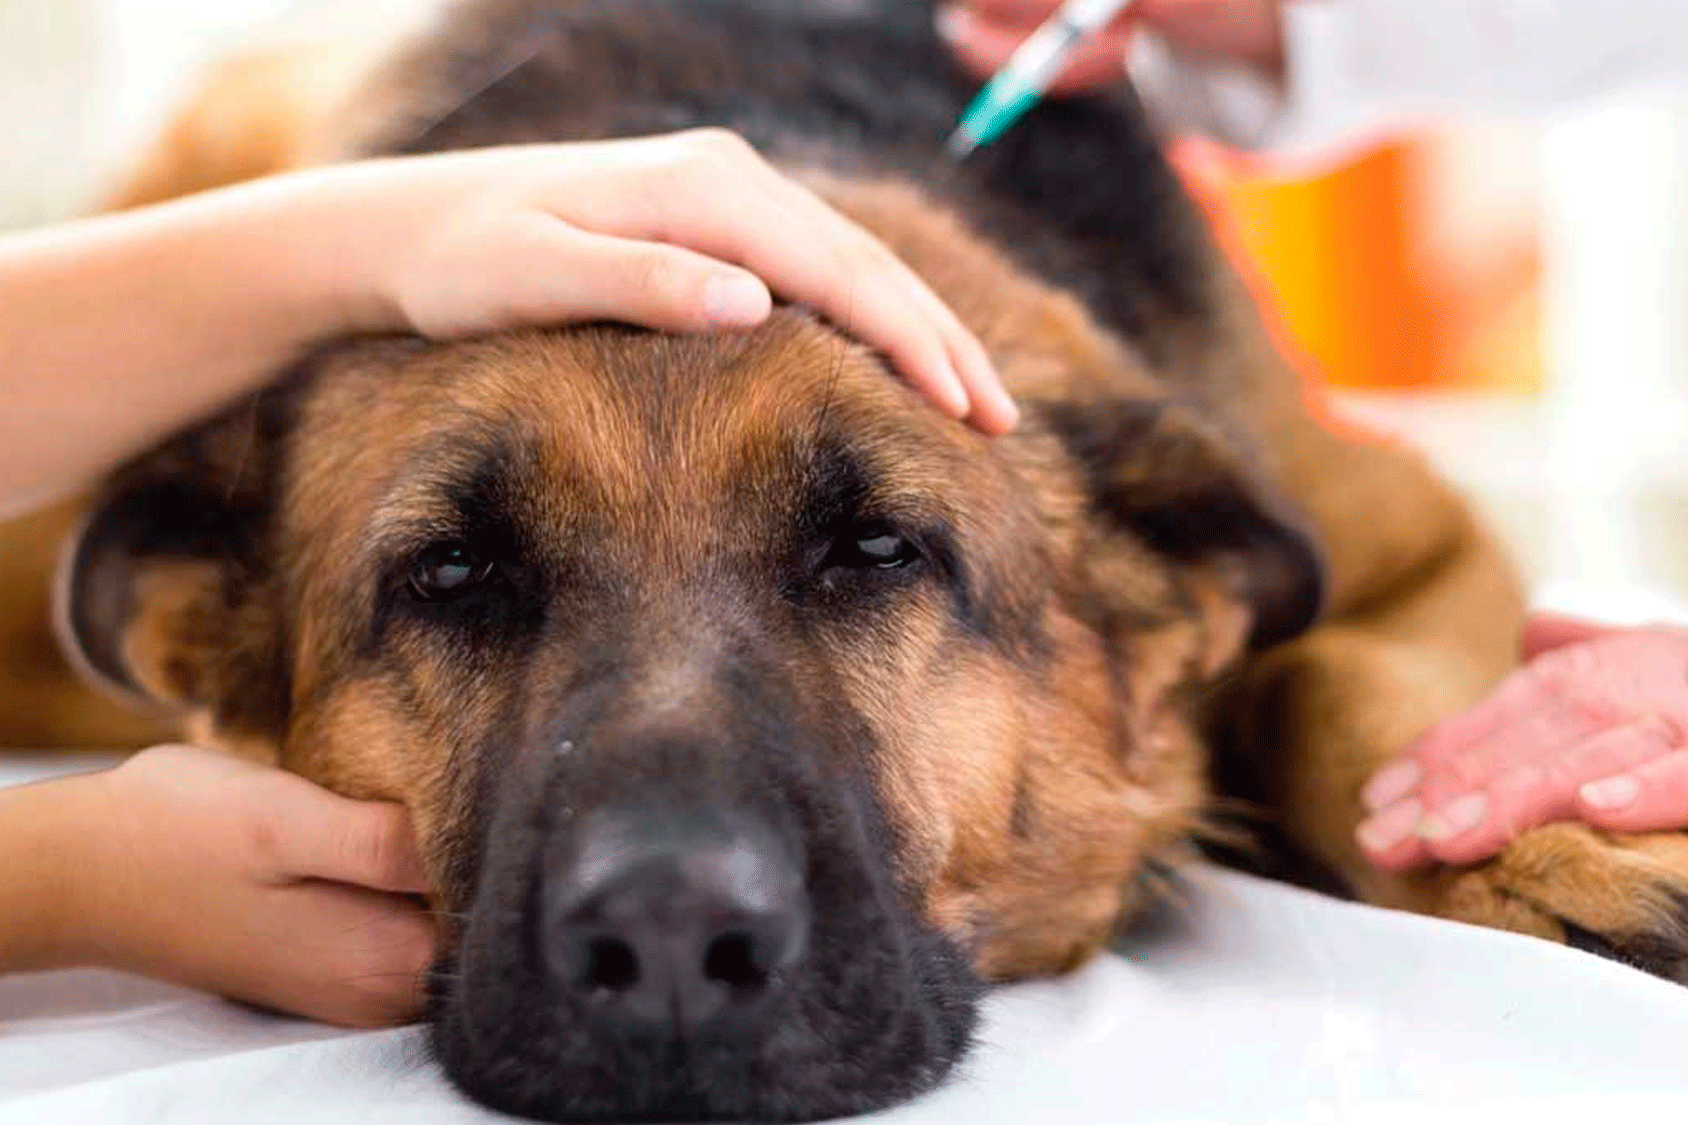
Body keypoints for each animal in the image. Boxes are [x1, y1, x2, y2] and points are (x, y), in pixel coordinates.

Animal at [9, 0, 1688, 1114]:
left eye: (877, 547)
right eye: (453, 574)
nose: (668, 939)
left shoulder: (1419, 544)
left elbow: (1335, 675)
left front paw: (1543, 843)